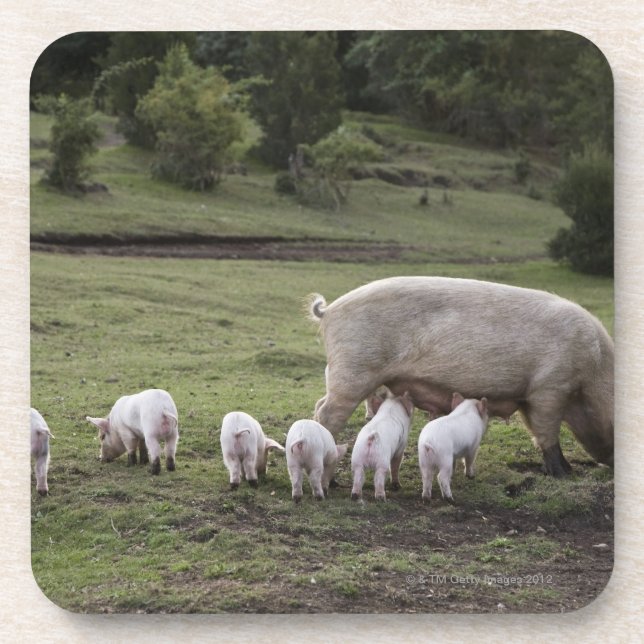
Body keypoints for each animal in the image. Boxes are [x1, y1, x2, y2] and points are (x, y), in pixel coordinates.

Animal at [308, 276, 614, 477]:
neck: (595, 371)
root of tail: (330, 310)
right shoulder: (548, 388)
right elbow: (547, 431)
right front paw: (565, 473)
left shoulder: (530, 395)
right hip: (353, 370)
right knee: (327, 413)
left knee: (319, 405)